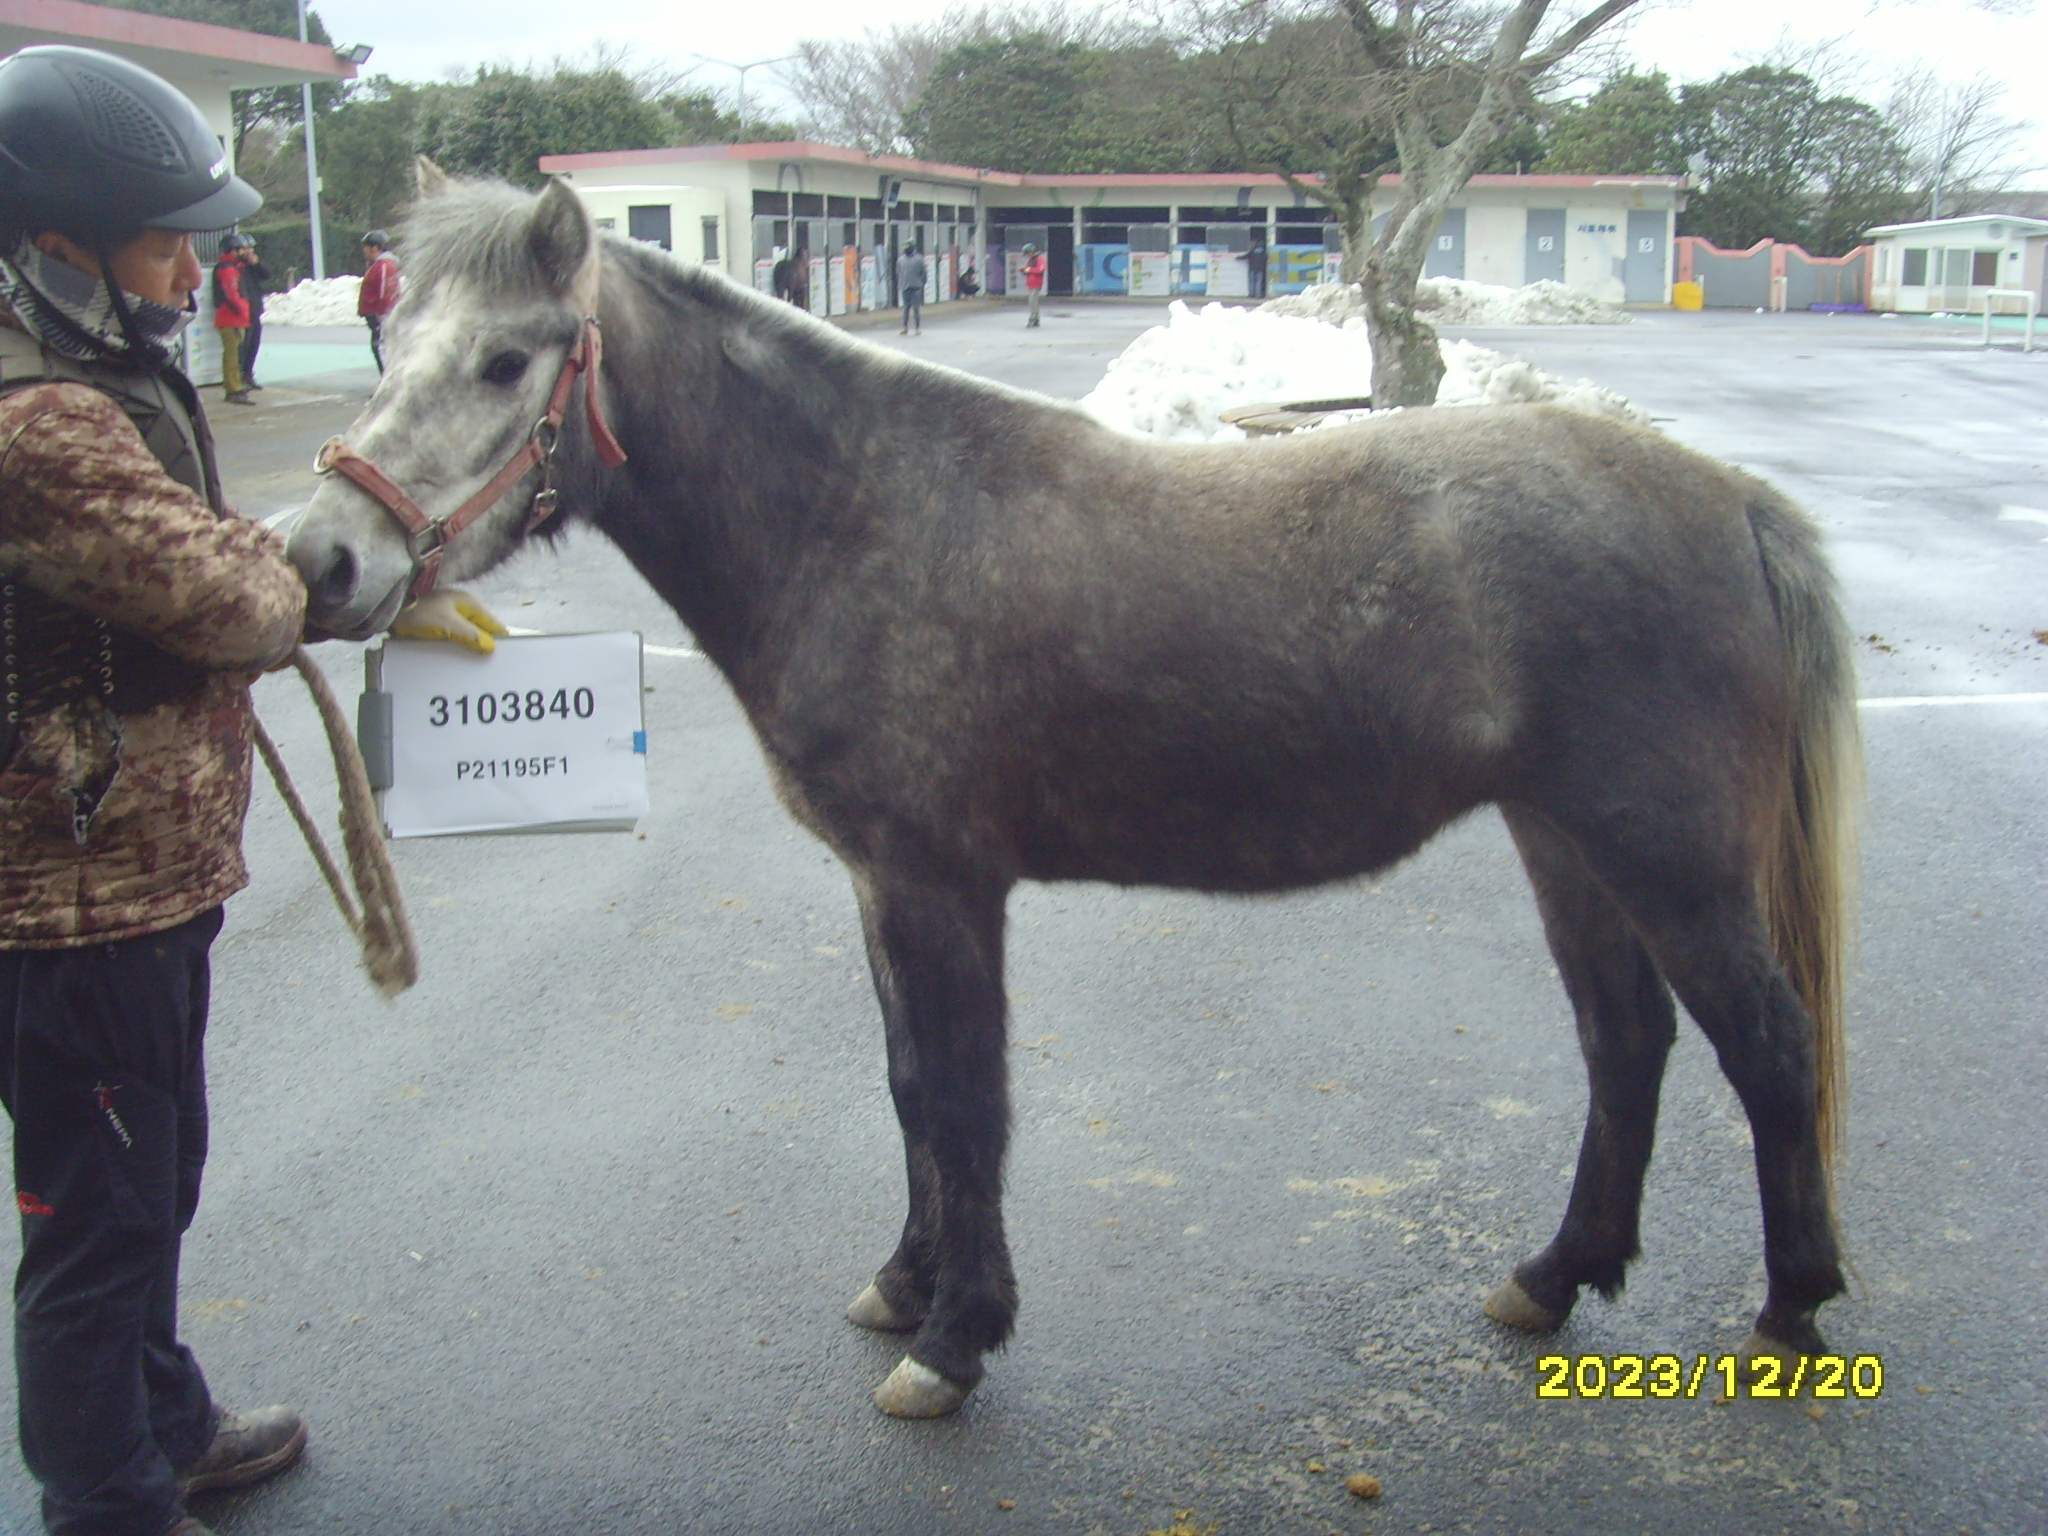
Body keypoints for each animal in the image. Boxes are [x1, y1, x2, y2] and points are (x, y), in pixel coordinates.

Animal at [292, 174, 1875, 1425]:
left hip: (1664, 857)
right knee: (1626, 1045)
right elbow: (909, 1089)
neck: (856, 513)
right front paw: (904, 1283)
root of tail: (1733, 502)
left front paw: (953, 1341)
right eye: (390, 339)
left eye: (506, 360)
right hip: (1566, 845)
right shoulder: (877, 884)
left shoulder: (938, 886)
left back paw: (1789, 1310)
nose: (321, 560)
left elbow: (964, 1101)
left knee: (1767, 1047)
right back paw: (1552, 1278)